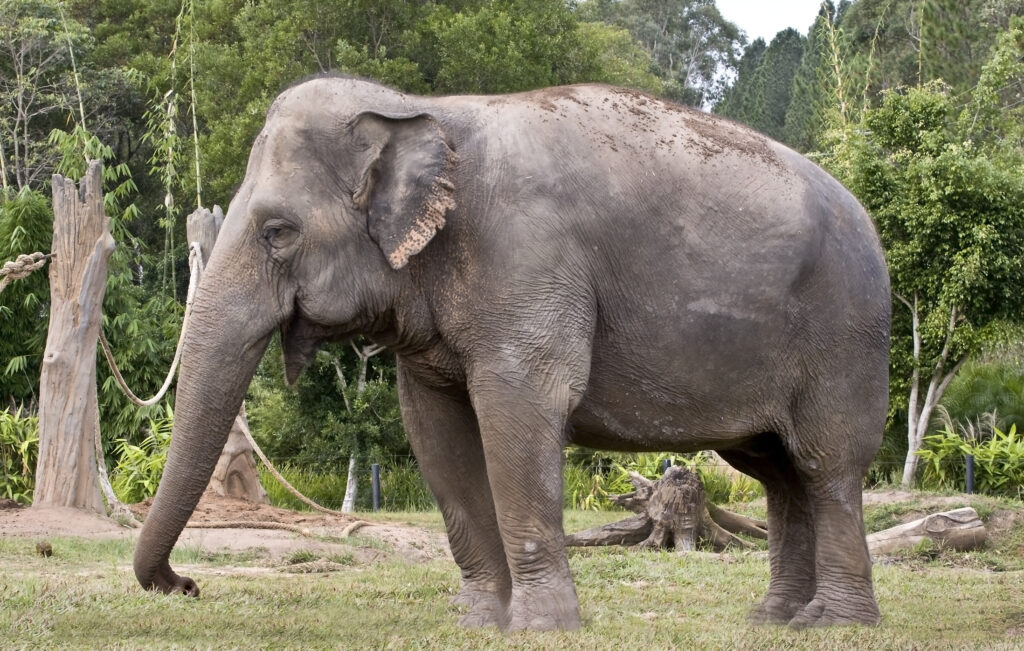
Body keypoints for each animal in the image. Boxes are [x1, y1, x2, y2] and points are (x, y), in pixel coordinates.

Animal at [133, 76, 890, 631]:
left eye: (278, 232)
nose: (187, 583)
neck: (423, 110)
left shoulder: (528, 261)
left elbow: (519, 411)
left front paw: (540, 627)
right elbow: (435, 431)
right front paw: (479, 623)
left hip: (845, 335)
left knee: (825, 466)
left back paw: (832, 624)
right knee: (776, 471)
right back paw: (774, 619)